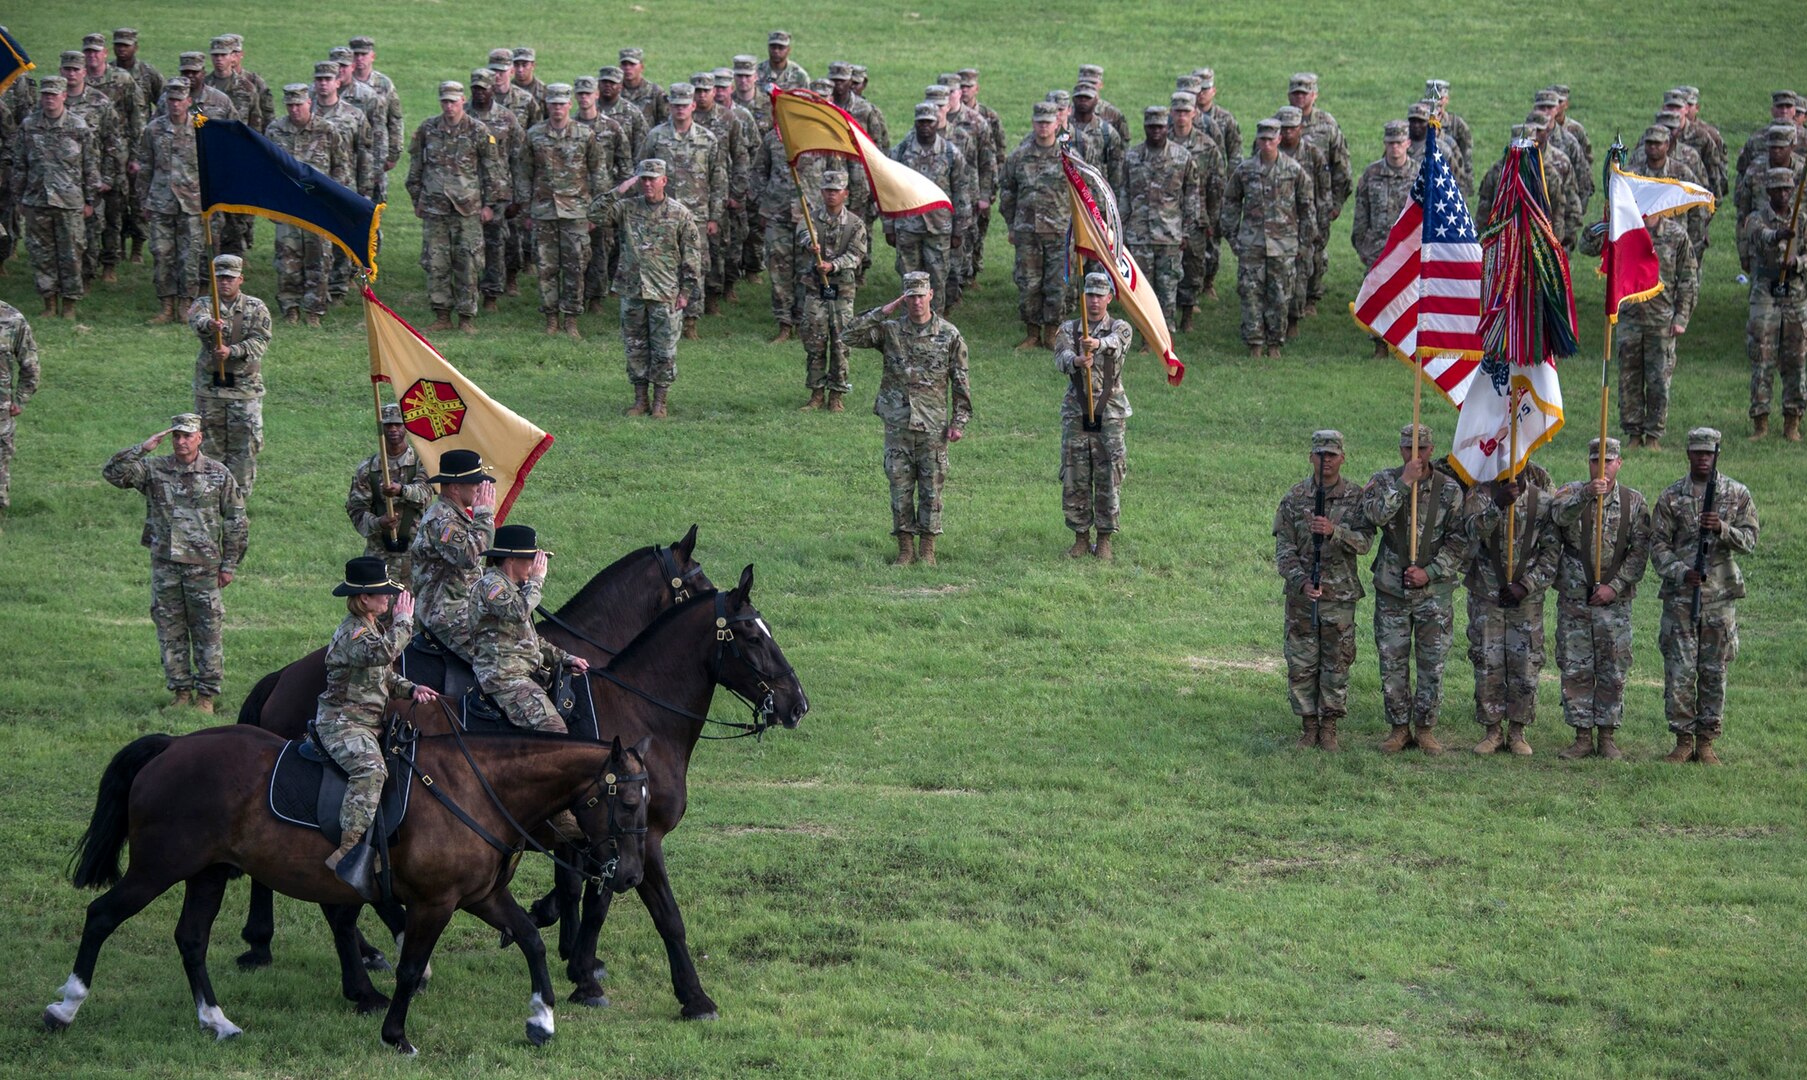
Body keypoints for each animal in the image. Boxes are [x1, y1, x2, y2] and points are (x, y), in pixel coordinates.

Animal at [44, 722, 657, 1054]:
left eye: (646, 801)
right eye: (628, 801)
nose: (630, 876)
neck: (475, 790)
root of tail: (173, 747)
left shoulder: (481, 897)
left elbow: (530, 939)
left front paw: (541, 1019)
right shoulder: (434, 904)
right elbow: (410, 969)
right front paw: (396, 1036)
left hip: (208, 873)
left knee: (191, 940)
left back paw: (216, 1021)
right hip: (157, 869)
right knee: (101, 916)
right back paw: (65, 1008)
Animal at [236, 527, 715, 975]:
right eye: (699, 579)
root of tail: (282, 677)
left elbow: (572, 879)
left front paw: (563, 937)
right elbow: (574, 879)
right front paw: (565, 938)